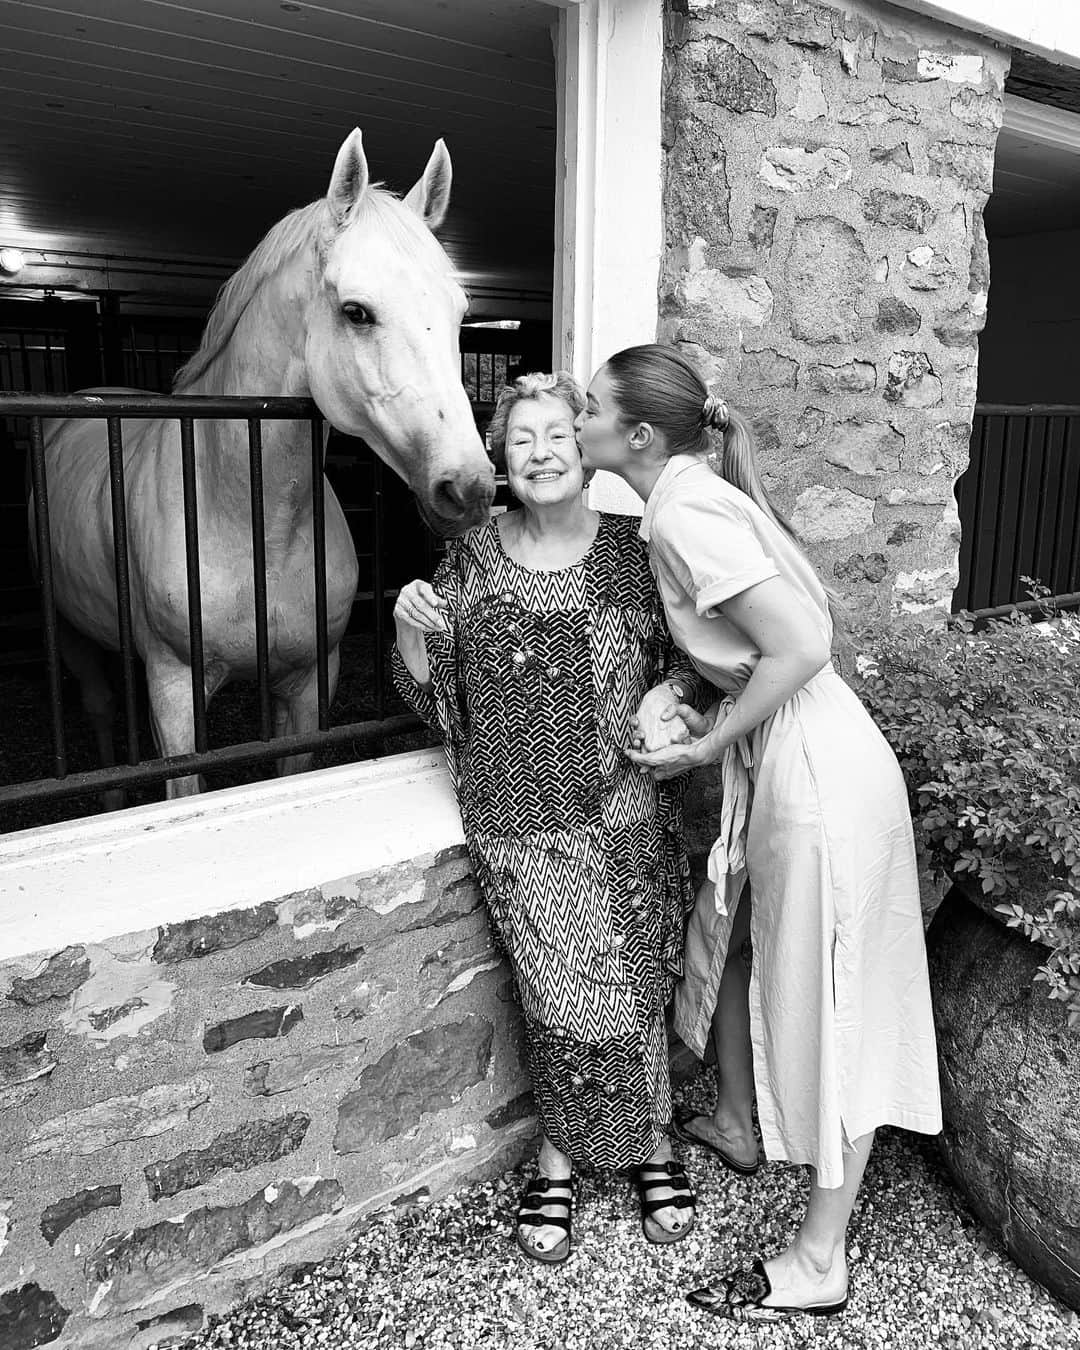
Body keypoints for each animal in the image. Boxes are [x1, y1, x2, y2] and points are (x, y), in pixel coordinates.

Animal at [29, 127, 494, 793]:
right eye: (356, 311)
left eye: (459, 313)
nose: (470, 489)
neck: (255, 524)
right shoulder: (174, 694)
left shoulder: (306, 686)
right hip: (71, 635)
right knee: (97, 707)